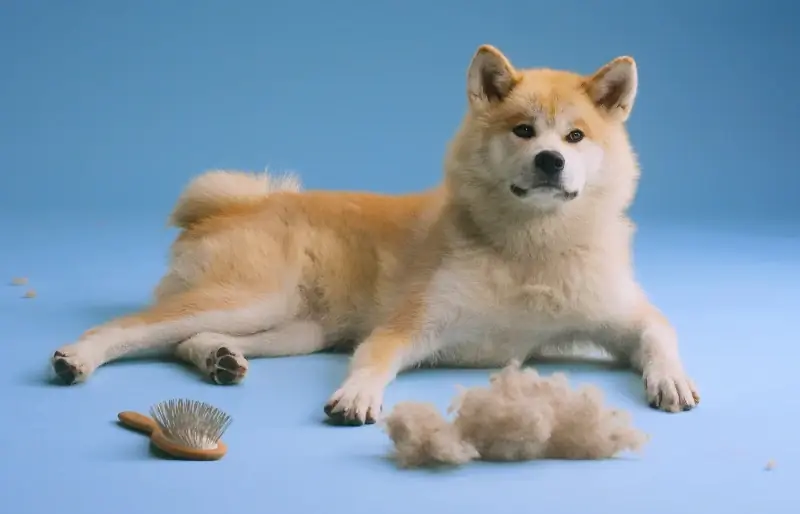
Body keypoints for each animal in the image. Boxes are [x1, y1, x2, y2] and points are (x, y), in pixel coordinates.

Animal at [50, 44, 700, 422]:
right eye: (522, 130)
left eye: (575, 136)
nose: (549, 161)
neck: (530, 251)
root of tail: (235, 205)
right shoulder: (411, 325)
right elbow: (376, 360)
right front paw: (358, 395)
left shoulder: (623, 317)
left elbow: (658, 335)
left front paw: (672, 379)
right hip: (252, 297)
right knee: (126, 328)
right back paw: (78, 358)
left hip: (297, 329)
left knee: (187, 339)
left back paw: (217, 359)